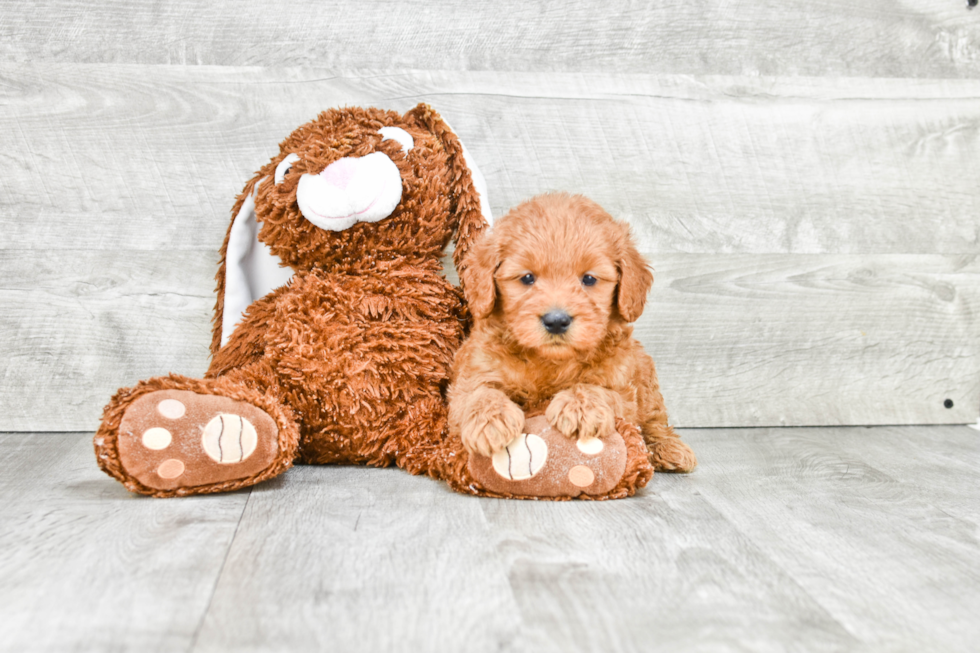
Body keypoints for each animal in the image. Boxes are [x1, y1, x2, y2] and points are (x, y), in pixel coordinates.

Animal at [450, 194, 696, 474]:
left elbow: (602, 391)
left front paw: (580, 406)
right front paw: (489, 421)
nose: (556, 321)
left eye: (588, 279)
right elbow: (478, 393)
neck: (549, 361)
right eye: (527, 278)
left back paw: (669, 448)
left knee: (654, 418)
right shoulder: (472, 373)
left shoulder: (623, 389)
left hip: (644, 372)